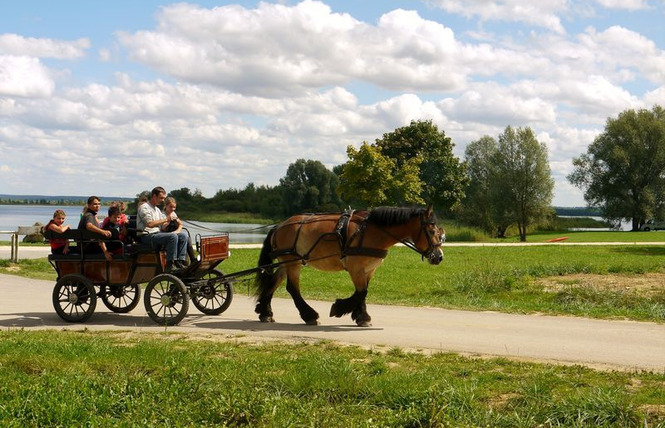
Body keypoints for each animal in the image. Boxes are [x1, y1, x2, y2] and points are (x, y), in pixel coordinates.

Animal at [254, 206, 446, 326]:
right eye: (432, 231)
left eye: (439, 232)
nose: (439, 257)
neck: (372, 231)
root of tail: (280, 225)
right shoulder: (356, 267)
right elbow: (361, 292)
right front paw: (340, 309)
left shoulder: (369, 269)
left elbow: (363, 292)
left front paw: (361, 317)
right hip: (292, 261)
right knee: (292, 288)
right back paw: (309, 315)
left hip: (285, 262)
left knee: (273, 282)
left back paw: (265, 312)